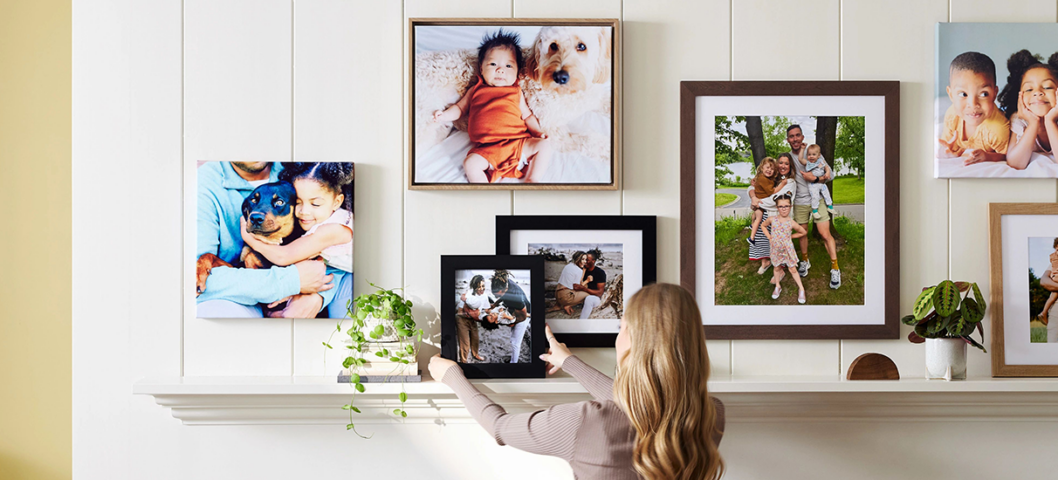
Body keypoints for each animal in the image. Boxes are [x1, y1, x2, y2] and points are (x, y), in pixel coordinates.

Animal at [412, 26, 613, 164]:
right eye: (553, 46)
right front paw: (608, 149)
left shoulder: (596, 98)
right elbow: (589, 141)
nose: (560, 77)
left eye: (582, 46)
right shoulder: (553, 132)